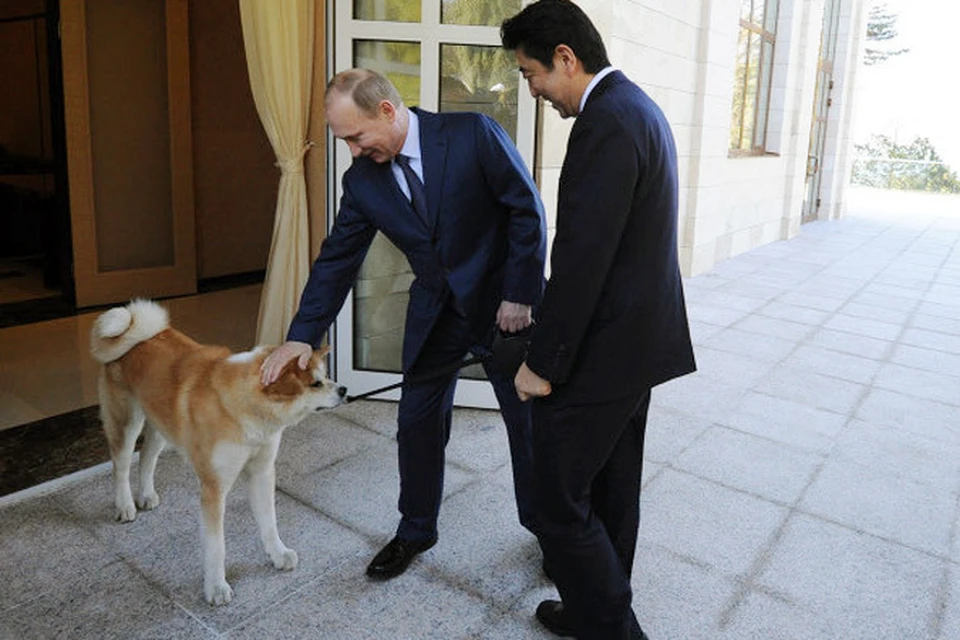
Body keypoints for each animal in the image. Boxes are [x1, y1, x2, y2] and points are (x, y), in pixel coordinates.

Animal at [90, 300, 344, 604]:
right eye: (316, 383)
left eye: (326, 376)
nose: (344, 389)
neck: (244, 406)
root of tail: (135, 327)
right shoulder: (214, 487)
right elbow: (216, 546)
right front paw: (216, 587)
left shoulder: (262, 472)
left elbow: (269, 522)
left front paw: (278, 554)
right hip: (127, 421)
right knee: (121, 465)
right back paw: (125, 505)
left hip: (161, 423)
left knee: (147, 458)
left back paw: (147, 495)